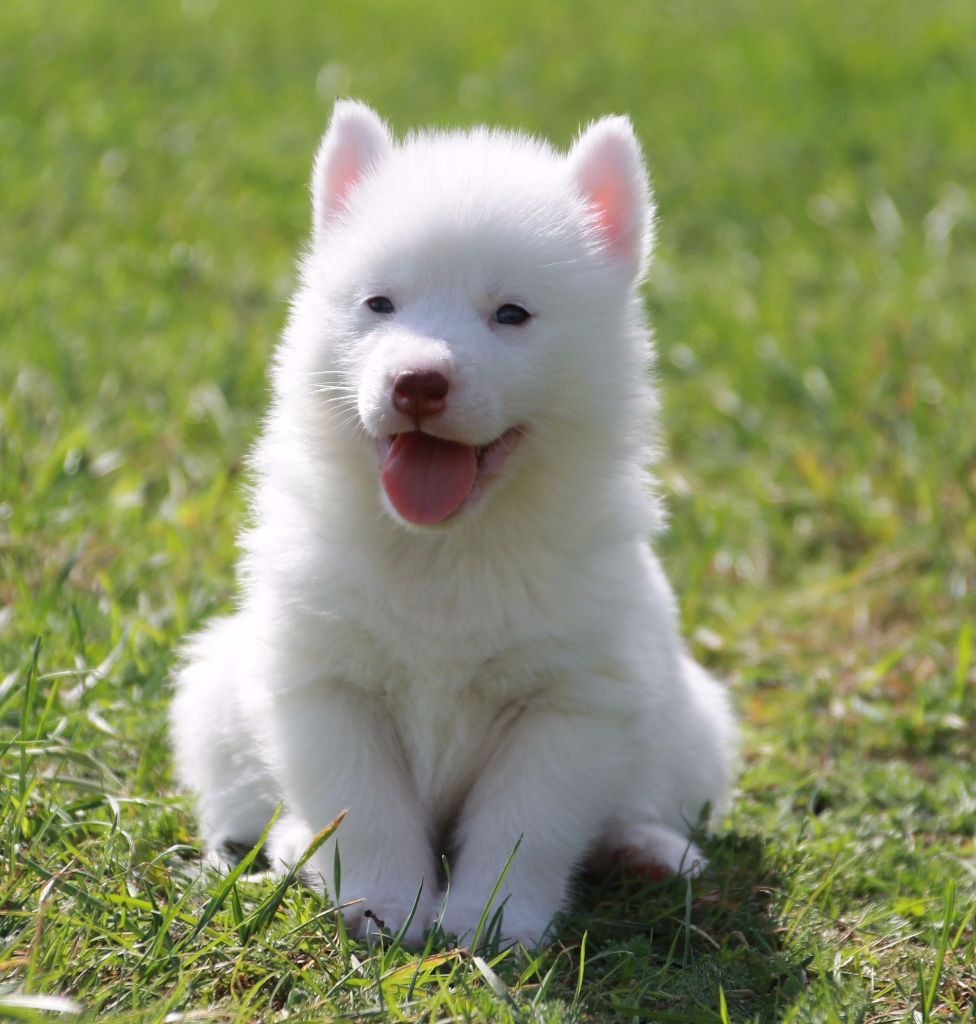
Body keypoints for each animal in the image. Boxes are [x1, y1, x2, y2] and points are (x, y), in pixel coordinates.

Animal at [170, 100, 736, 948]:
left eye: (511, 314)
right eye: (380, 304)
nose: (417, 382)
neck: (445, 549)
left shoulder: (571, 700)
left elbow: (525, 824)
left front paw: (490, 922)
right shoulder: (326, 684)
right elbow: (364, 808)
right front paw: (386, 904)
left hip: (693, 727)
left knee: (635, 804)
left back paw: (645, 848)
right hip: (213, 701)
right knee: (259, 810)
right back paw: (299, 846)